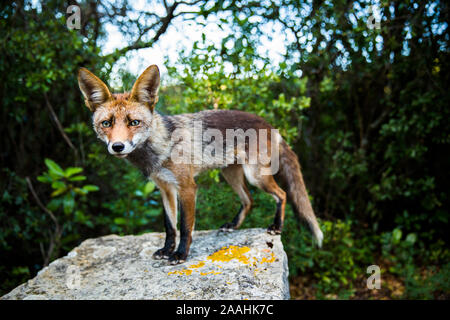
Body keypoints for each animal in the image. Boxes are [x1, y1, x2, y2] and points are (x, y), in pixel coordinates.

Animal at [78, 64, 324, 262]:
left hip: (256, 176)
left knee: (282, 194)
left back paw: (276, 227)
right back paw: (233, 225)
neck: (162, 146)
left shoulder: (187, 187)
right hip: (231, 175)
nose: (117, 146)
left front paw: (180, 255)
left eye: (134, 122)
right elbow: (170, 227)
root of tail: (269, 124)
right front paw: (166, 250)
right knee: (249, 200)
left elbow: (186, 227)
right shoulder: (165, 188)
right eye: (106, 123)